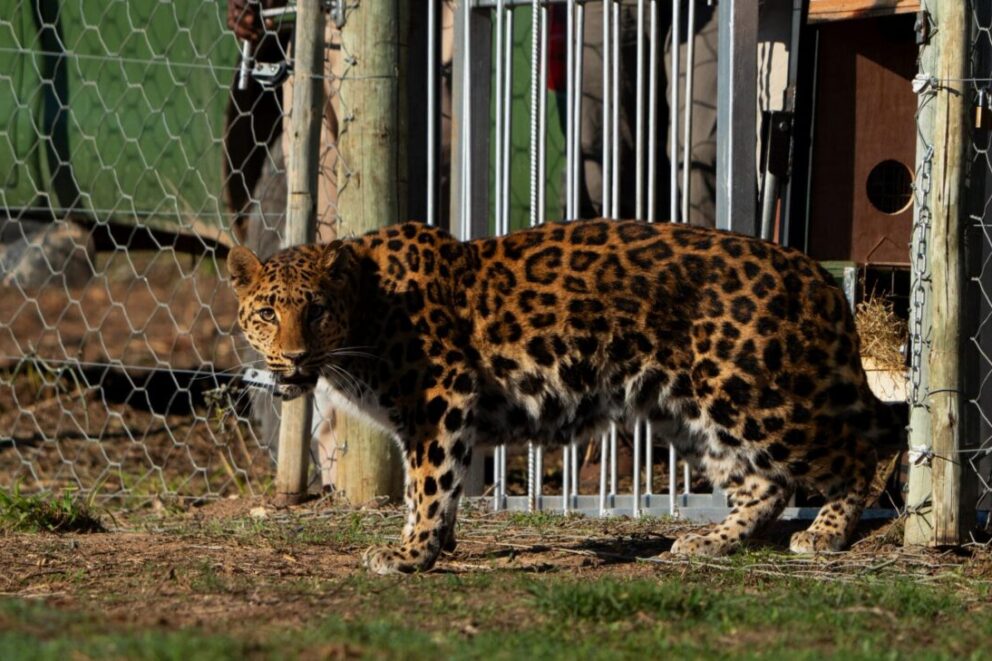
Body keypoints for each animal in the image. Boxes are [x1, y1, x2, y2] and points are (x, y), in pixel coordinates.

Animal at [227, 219, 902, 575]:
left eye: (316, 312)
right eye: (267, 314)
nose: (292, 357)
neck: (366, 309)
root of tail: (811, 272)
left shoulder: (442, 396)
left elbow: (429, 482)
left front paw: (411, 554)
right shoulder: (427, 415)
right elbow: (431, 489)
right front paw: (433, 542)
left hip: (749, 390)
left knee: (852, 451)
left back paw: (825, 535)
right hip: (687, 410)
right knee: (762, 484)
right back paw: (705, 542)